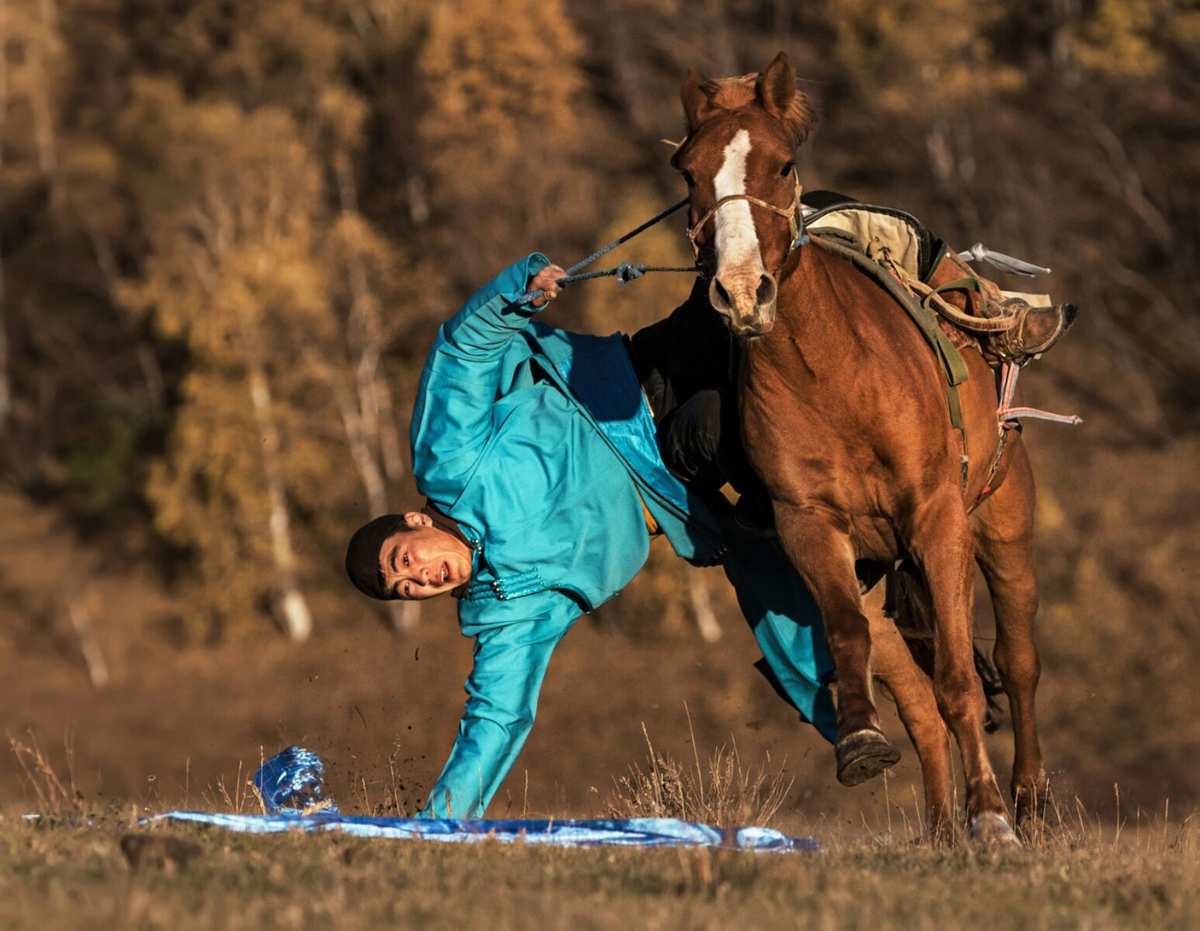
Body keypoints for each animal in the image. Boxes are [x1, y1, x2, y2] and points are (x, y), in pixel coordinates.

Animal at [681, 52, 1046, 844]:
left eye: (783, 164)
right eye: (686, 170)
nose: (741, 292)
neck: (836, 377)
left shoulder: (939, 519)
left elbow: (963, 680)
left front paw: (992, 816)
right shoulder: (810, 525)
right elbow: (851, 635)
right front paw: (859, 739)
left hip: (1002, 524)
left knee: (1018, 660)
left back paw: (1027, 801)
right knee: (917, 702)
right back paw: (941, 826)